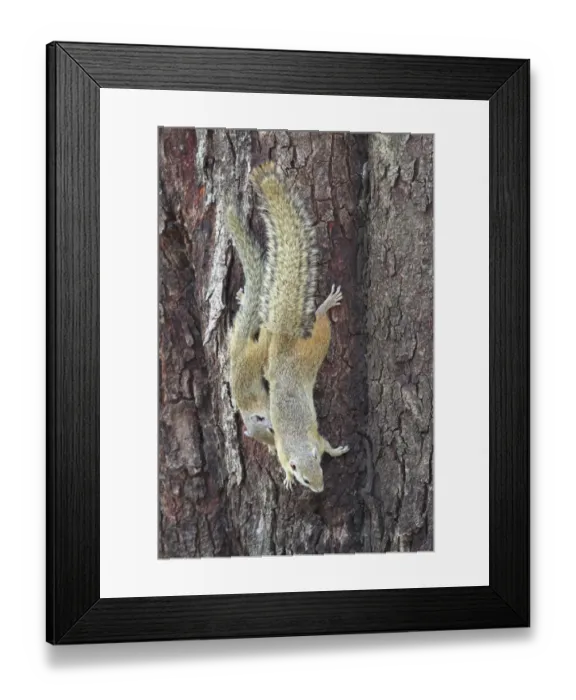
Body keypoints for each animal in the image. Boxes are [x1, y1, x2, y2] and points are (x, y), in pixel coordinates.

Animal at [250, 162, 349, 493]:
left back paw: (326, 305)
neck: (298, 445)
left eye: (319, 467)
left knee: (319, 323)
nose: (319, 489)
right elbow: (283, 462)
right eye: (307, 478)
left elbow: (327, 443)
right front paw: (286, 477)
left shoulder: (315, 439)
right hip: (296, 354)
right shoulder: (285, 449)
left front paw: (338, 450)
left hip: (313, 347)